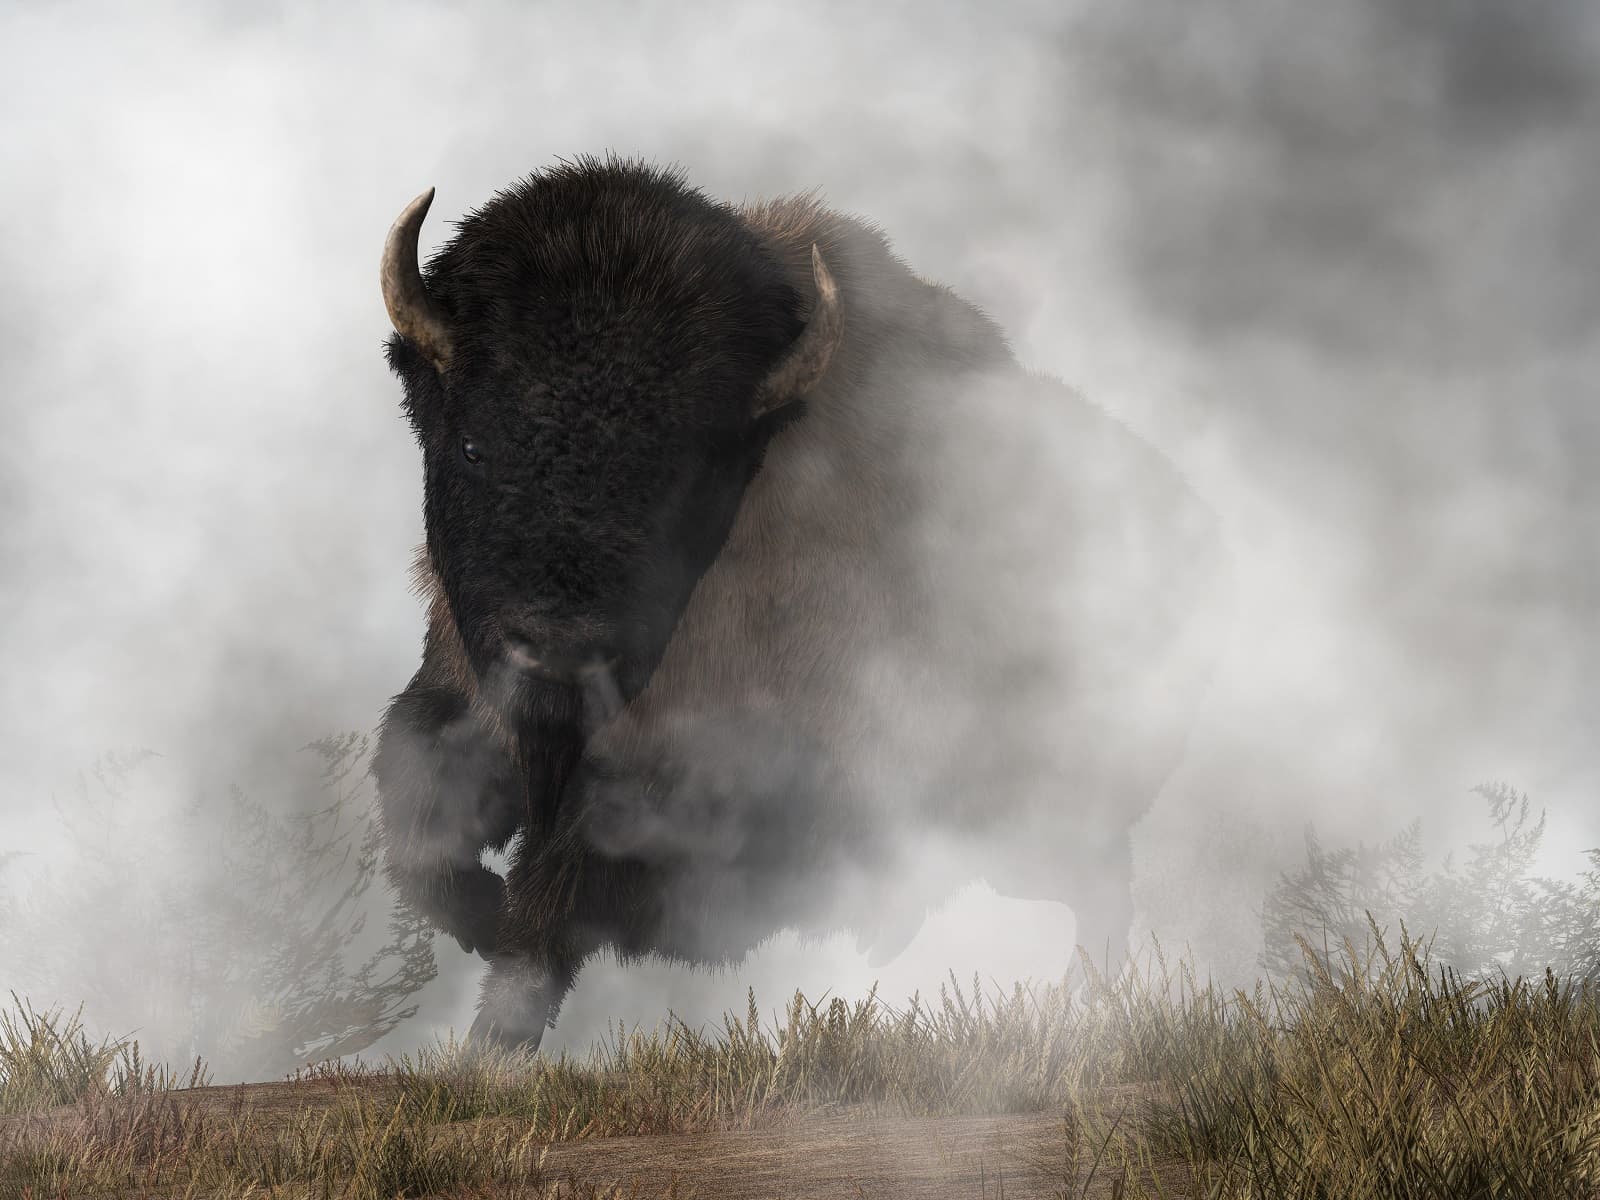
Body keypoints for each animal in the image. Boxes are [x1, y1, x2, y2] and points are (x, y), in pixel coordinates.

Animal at [372, 156, 1229, 1050]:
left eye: (686, 480)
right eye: (473, 443)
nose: (557, 654)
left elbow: (550, 911)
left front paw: (489, 1040)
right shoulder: (457, 700)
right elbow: (422, 825)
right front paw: (478, 921)